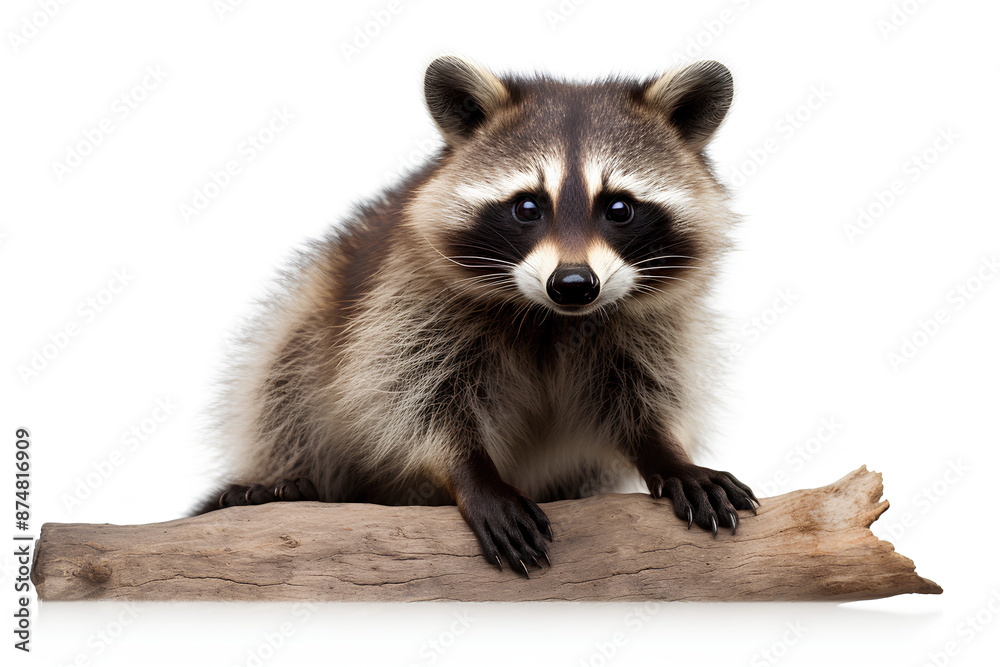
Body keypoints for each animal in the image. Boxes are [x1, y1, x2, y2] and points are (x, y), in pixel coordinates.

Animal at [194, 56, 758, 577]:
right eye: (528, 207)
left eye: (619, 209)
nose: (573, 284)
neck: (552, 317)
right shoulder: (409, 295)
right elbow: (406, 395)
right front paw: (471, 473)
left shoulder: (653, 320)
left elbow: (644, 390)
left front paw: (667, 452)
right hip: (315, 310)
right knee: (285, 379)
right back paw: (281, 477)